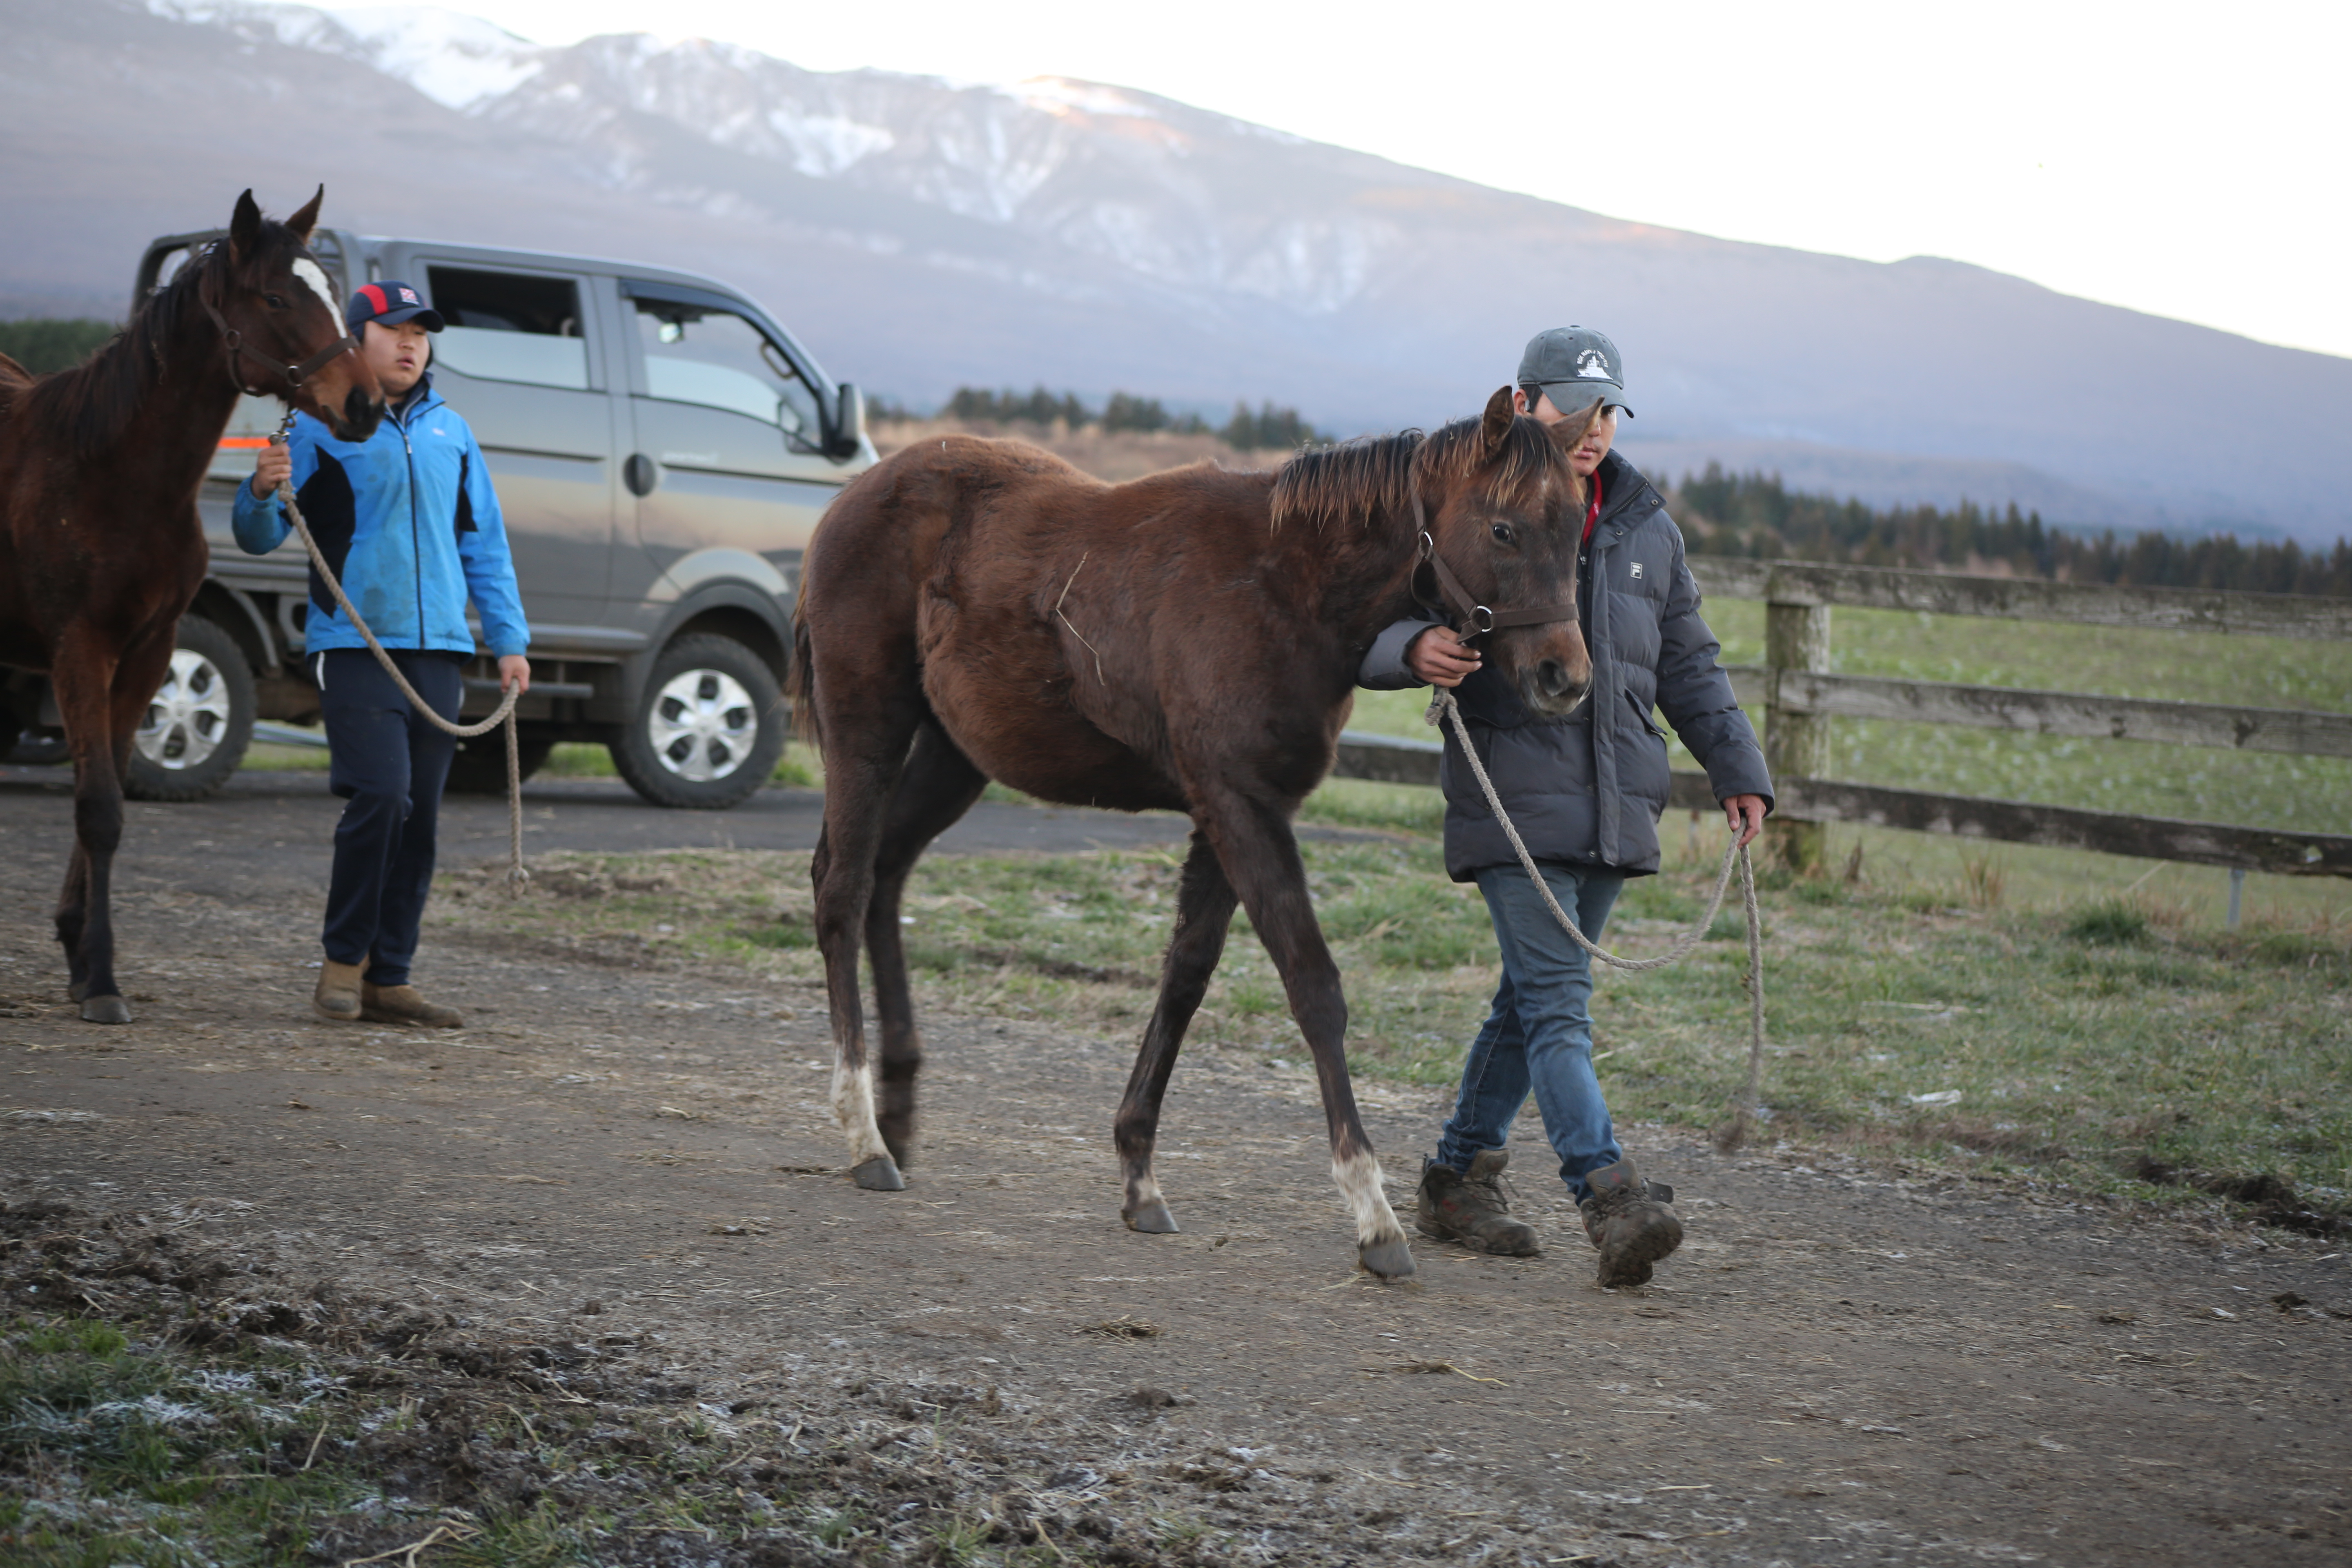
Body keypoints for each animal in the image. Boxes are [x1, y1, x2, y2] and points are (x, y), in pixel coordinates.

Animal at [3, 190, 381, 1025]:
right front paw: (102, 982)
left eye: (334, 293)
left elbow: (109, 792)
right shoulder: (81, 648)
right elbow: (98, 807)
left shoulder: (147, 650)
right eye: (275, 298)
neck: (112, 473)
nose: (366, 404)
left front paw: (80, 953)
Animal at [795, 385, 1599, 1278]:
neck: (1286, 589)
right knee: (843, 887)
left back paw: (899, 1110)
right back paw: (864, 1133)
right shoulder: (1239, 805)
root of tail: (852, 497)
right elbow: (1314, 987)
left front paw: (1140, 1177)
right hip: (867, 728)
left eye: (1574, 527)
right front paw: (1373, 1213)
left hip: (952, 754)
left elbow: (1185, 978)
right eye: (1504, 529)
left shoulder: (1227, 814)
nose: (1566, 678)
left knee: (886, 875)